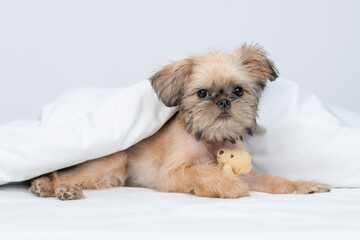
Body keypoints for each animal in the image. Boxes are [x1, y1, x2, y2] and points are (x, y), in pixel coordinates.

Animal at [29, 44, 330, 200]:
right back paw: (55, 187)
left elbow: (272, 180)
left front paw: (302, 186)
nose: (224, 102)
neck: (211, 140)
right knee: (60, 173)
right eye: (202, 94)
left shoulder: (247, 171)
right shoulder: (172, 173)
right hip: (113, 159)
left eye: (238, 91)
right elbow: (205, 172)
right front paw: (230, 186)